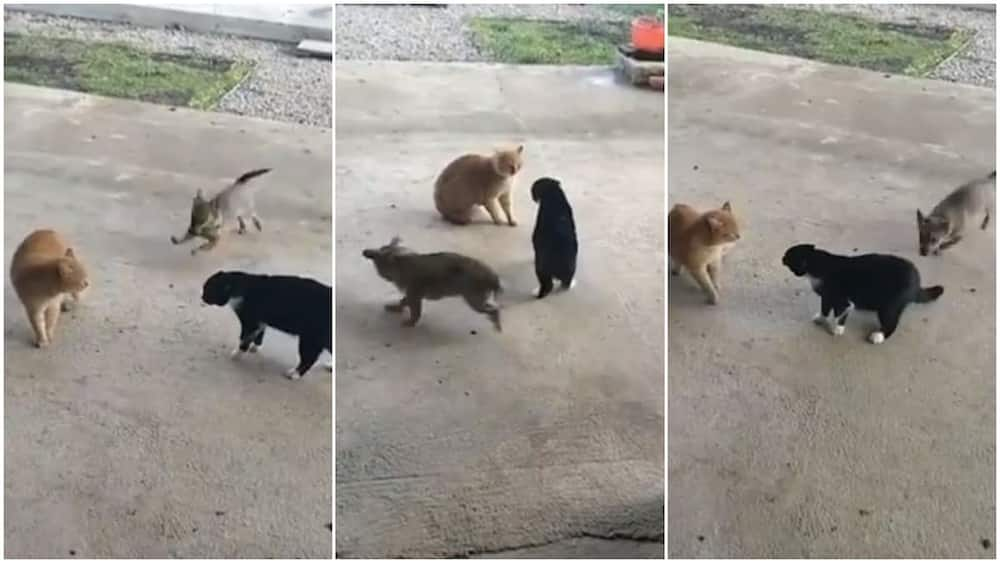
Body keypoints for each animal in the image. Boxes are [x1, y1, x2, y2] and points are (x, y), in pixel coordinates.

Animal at [201, 272, 334, 382]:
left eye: (208, 290)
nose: (201, 297)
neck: (241, 285)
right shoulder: (260, 322)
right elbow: (259, 335)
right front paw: (255, 347)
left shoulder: (250, 322)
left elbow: (244, 339)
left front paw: (237, 353)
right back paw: (330, 365)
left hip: (311, 337)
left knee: (309, 358)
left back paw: (294, 374)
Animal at [780, 242, 944, 344]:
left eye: (788, 256)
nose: (781, 258)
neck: (819, 265)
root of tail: (917, 282)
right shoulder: (827, 296)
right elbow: (825, 308)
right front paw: (821, 318)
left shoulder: (842, 300)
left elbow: (840, 314)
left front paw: (837, 329)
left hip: (890, 304)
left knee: (892, 322)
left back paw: (878, 336)